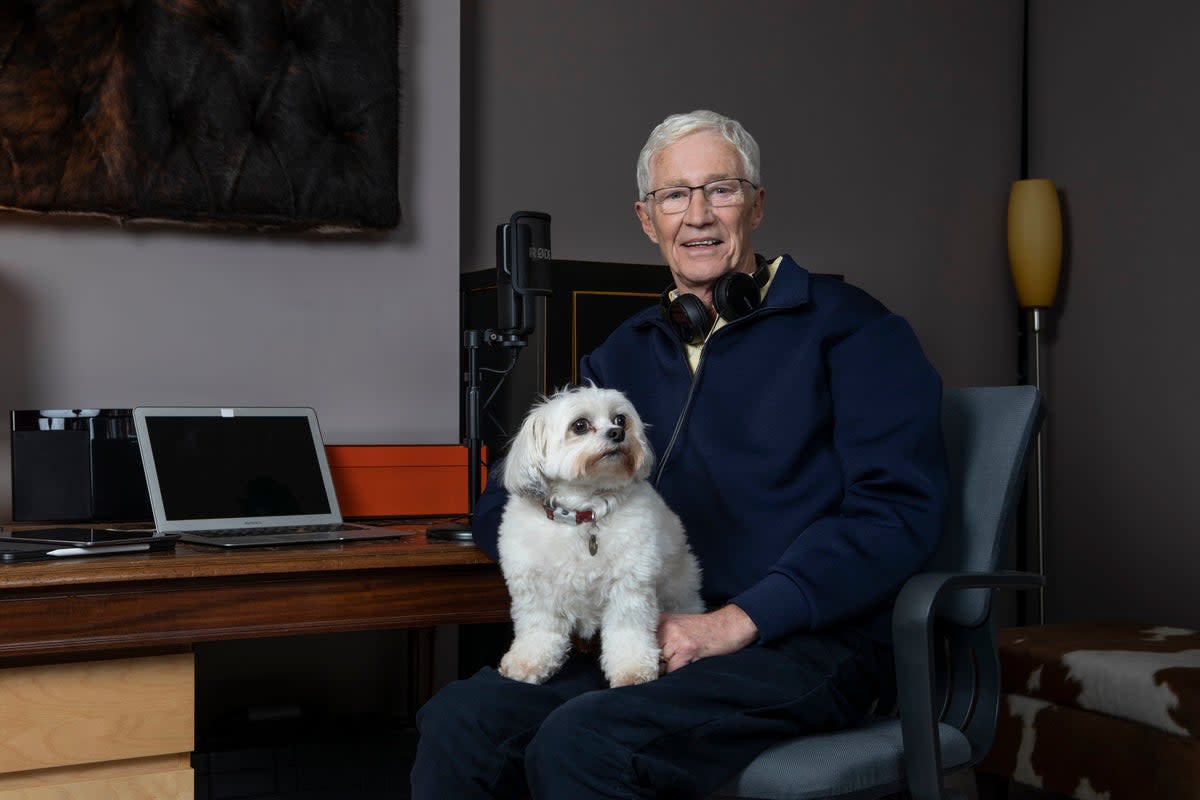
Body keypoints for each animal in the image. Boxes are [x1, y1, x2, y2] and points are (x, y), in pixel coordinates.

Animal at [496, 383, 700, 686]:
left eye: (620, 419)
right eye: (580, 425)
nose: (617, 433)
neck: (583, 514)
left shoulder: (629, 588)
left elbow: (627, 633)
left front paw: (633, 670)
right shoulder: (536, 590)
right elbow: (538, 629)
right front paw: (528, 662)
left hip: (680, 591)